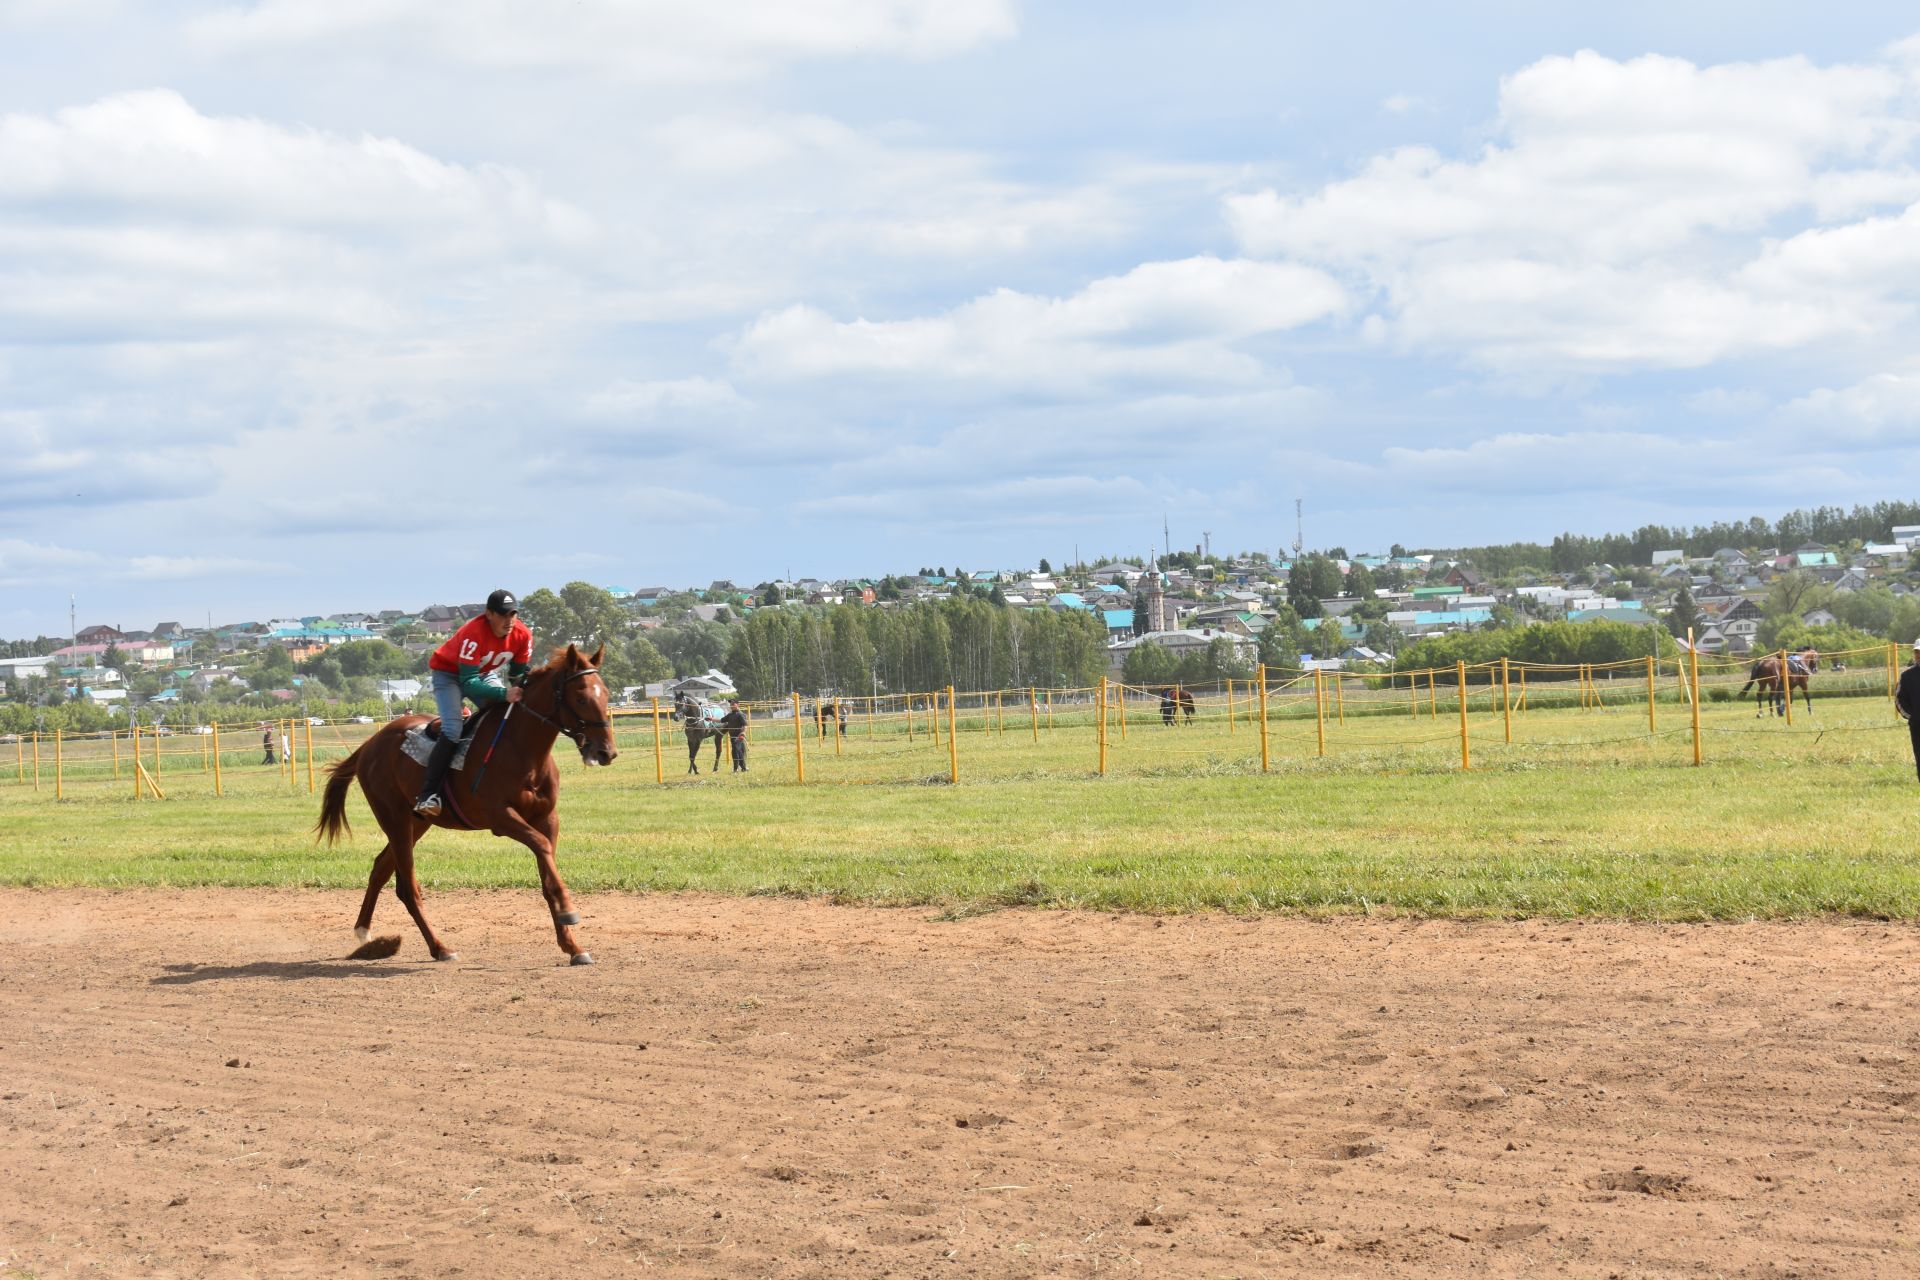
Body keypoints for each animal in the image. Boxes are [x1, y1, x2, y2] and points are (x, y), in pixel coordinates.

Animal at [314, 644, 614, 967]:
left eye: (606, 694)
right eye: (581, 697)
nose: (606, 751)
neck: (523, 751)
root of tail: (370, 744)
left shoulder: (547, 818)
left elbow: (547, 872)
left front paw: (572, 946)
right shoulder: (501, 817)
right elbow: (542, 847)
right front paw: (568, 909)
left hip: (416, 823)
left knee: (381, 867)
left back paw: (365, 933)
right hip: (394, 819)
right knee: (408, 887)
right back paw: (439, 947)